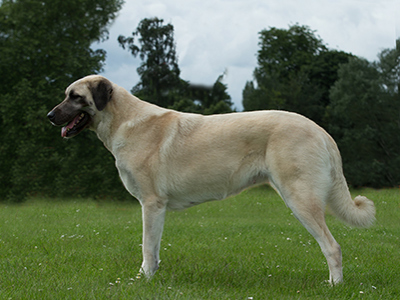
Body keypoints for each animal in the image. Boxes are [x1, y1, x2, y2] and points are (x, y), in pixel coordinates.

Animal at [47, 75, 376, 284]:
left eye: (75, 97)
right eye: (66, 95)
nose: (50, 115)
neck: (123, 121)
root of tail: (319, 130)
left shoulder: (151, 204)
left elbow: (147, 248)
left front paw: (143, 281)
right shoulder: (156, 209)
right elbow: (155, 249)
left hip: (300, 199)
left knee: (332, 247)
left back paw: (334, 286)